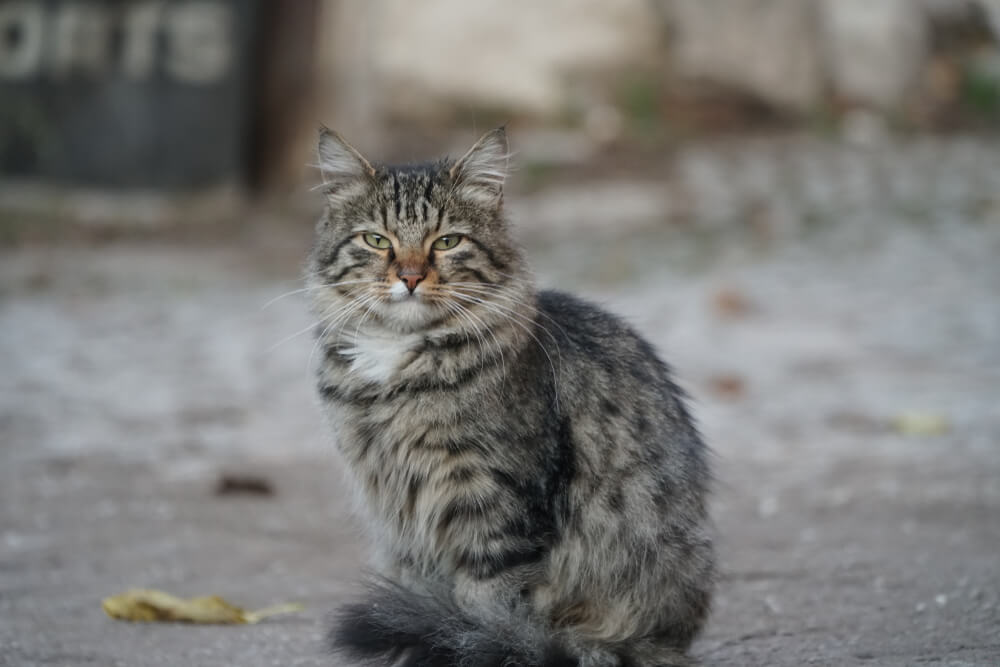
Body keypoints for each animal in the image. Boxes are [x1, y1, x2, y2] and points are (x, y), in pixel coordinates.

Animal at [304, 126, 712, 667]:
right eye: (376, 240)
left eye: (447, 241)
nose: (409, 277)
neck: (398, 363)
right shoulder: (398, 511)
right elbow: (417, 597)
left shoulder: (496, 503)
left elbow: (488, 609)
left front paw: (477, 641)